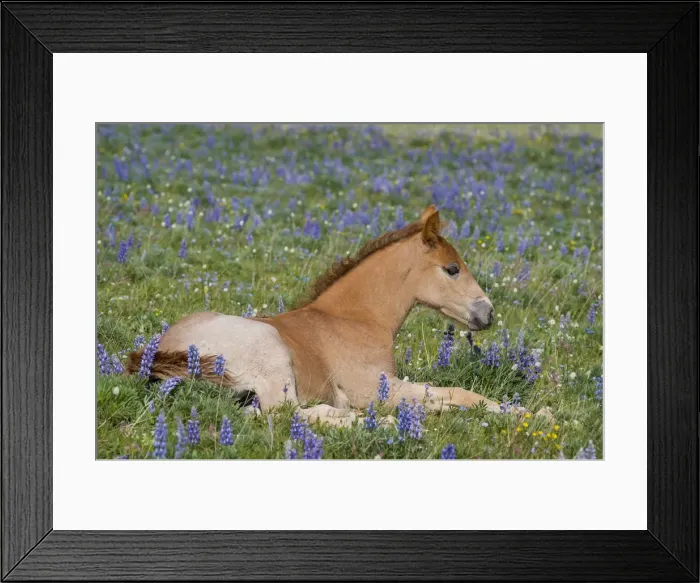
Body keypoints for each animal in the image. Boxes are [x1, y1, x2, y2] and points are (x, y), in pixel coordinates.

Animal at [126, 205, 529, 426]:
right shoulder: (378, 388)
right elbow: (459, 393)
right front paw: (528, 414)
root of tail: (158, 353)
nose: (488, 313)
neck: (354, 321)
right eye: (452, 269)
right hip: (270, 352)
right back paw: (377, 423)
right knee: (286, 413)